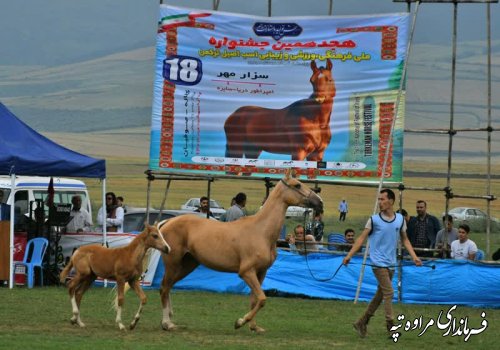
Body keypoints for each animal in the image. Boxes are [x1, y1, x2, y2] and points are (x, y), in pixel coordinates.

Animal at [160, 171, 324, 332]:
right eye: (297, 185)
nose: (320, 203)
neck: (261, 231)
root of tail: (168, 222)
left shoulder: (260, 272)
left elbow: (255, 299)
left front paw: (254, 326)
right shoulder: (246, 272)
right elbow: (262, 299)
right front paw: (240, 322)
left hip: (188, 264)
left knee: (169, 287)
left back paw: (171, 318)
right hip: (172, 263)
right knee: (164, 288)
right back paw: (167, 323)